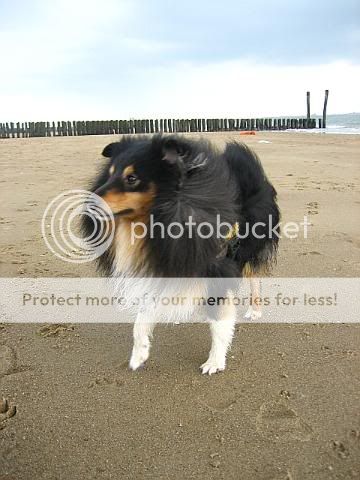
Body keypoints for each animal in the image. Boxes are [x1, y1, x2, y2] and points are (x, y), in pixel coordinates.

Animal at [82, 134, 282, 376]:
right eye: (110, 174)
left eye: (132, 178)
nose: (86, 204)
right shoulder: (161, 266)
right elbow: (140, 321)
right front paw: (139, 355)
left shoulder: (216, 270)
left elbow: (219, 322)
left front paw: (215, 361)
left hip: (248, 247)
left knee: (255, 279)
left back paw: (254, 310)